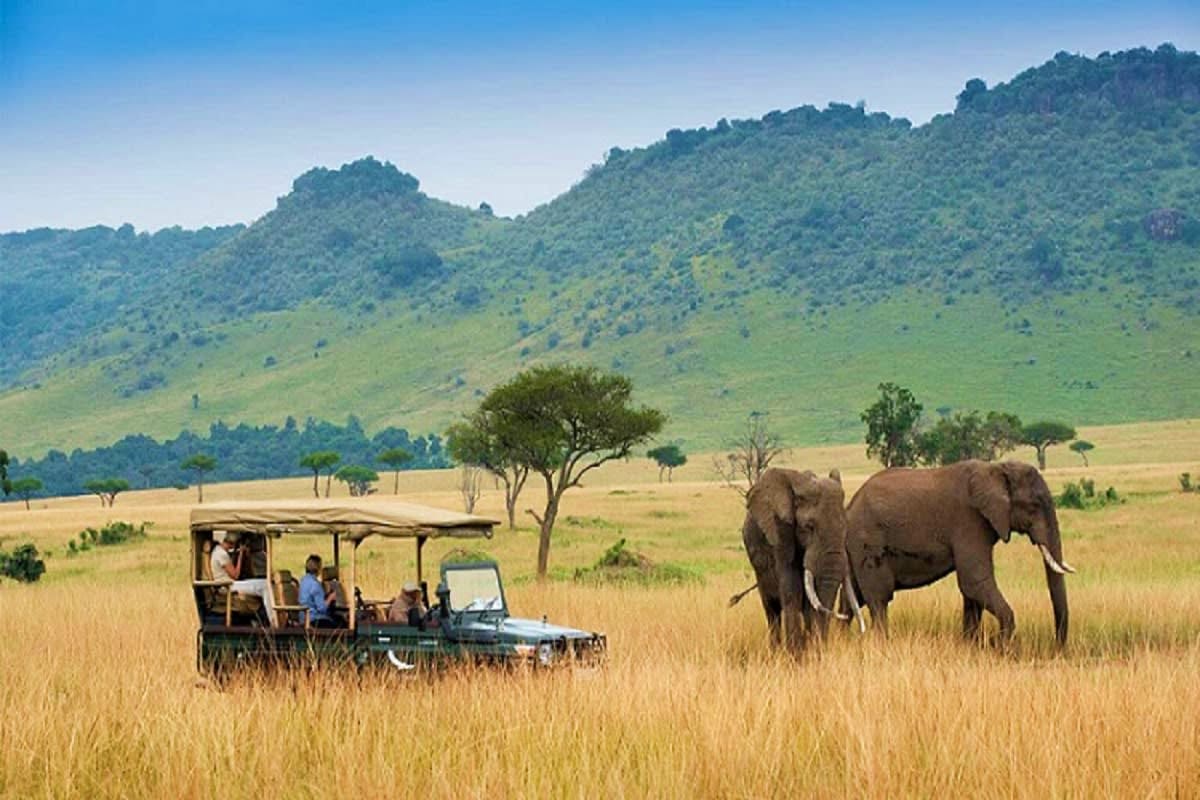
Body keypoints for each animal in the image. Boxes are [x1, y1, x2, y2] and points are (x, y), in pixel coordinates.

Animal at [739, 467, 865, 651]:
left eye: (846, 527)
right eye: (809, 527)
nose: (840, 615)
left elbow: (813, 599)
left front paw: (813, 652)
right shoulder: (781, 533)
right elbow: (792, 591)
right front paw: (796, 656)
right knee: (772, 610)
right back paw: (775, 651)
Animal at [844, 460, 1075, 646]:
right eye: (1033, 506)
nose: (1057, 647)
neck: (997, 468)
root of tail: (850, 505)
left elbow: (972, 591)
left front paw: (971, 645)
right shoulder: (969, 520)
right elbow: (975, 581)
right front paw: (1000, 647)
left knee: (851, 599)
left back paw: (840, 640)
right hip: (868, 540)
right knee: (879, 598)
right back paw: (881, 644)